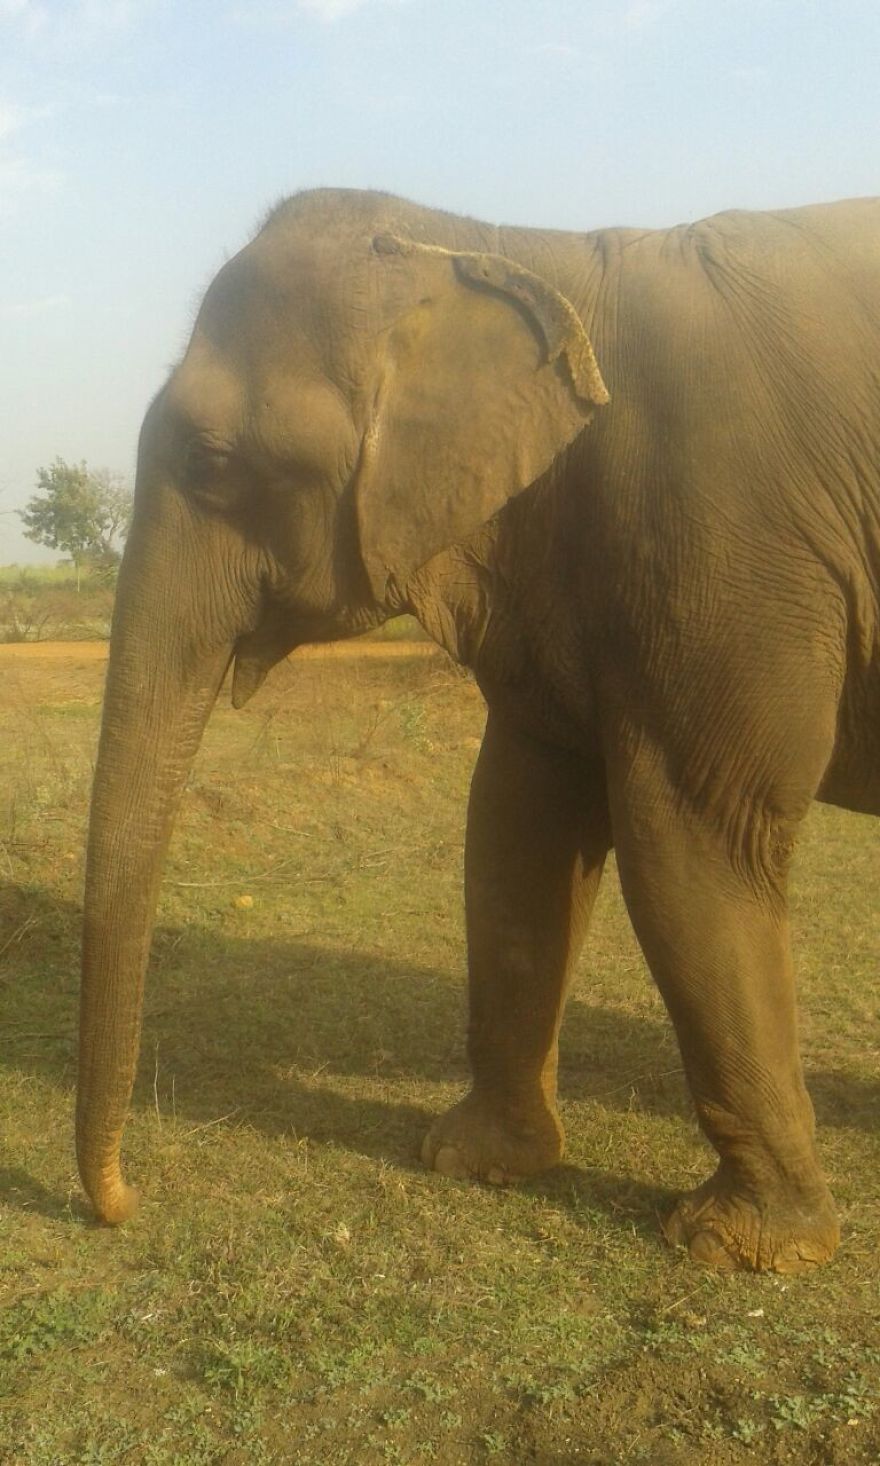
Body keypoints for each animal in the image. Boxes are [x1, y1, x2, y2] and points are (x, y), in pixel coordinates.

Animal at [77, 188, 879, 1274]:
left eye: (210, 461)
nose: (124, 1204)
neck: (490, 245)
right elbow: (515, 823)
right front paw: (472, 1160)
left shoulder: (723, 535)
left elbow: (693, 840)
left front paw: (739, 1247)